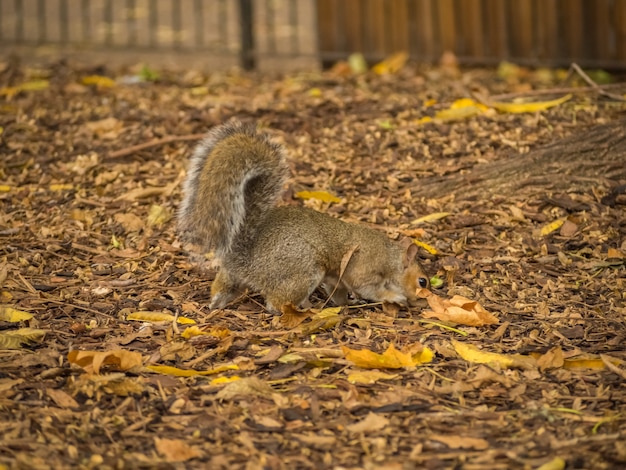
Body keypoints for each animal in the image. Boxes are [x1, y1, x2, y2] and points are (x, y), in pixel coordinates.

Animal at [178, 119, 426, 314]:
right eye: (422, 281)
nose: (420, 301)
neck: (391, 257)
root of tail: (244, 259)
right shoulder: (365, 267)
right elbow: (368, 287)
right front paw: (394, 297)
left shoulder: (335, 278)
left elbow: (338, 290)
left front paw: (345, 303)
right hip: (303, 270)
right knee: (276, 304)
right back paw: (307, 309)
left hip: (233, 277)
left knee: (222, 288)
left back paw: (215, 303)